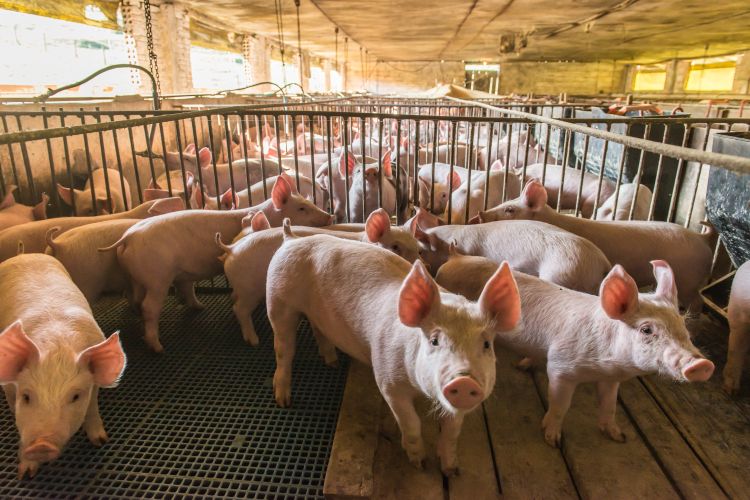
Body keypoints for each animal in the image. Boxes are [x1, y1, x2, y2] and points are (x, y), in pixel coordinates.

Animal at [0, 254, 126, 479]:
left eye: (75, 396)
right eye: (26, 396)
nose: (41, 445)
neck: (56, 348)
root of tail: (23, 254)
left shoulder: (93, 384)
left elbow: (92, 407)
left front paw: (100, 441)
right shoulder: (8, 388)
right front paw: (26, 474)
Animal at [101, 176, 332, 352]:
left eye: (311, 203)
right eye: (302, 208)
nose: (329, 216)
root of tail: (128, 237)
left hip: (135, 277)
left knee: (135, 297)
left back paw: (196, 307)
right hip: (157, 276)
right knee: (149, 306)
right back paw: (158, 347)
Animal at [219, 208, 422, 346]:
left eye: (418, 248)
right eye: (395, 247)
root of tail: (231, 249)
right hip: (249, 289)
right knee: (240, 309)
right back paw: (254, 340)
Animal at [266, 229, 521, 474]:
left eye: (486, 344)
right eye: (434, 341)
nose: (465, 380)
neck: (420, 391)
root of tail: (291, 238)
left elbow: (452, 432)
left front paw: (451, 470)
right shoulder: (388, 381)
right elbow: (412, 423)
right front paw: (419, 463)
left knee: (318, 330)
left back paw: (332, 362)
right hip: (278, 301)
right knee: (283, 348)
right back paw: (283, 400)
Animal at [435, 254, 714, 447]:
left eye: (682, 326)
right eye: (647, 330)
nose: (702, 364)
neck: (605, 365)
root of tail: (453, 259)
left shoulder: (611, 379)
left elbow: (609, 405)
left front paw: (619, 436)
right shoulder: (561, 367)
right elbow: (560, 405)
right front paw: (552, 440)